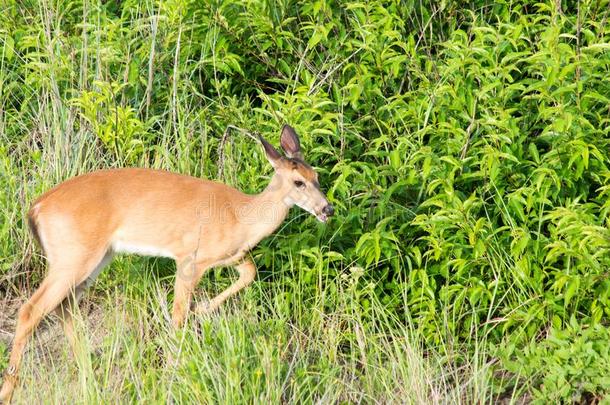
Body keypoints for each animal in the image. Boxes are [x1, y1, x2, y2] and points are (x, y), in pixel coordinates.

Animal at [0, 124, 332, 402]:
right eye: (298, 182)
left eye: (316, 177)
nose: (327, 209)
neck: (240, 215)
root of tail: (35, 208)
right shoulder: (189, 258)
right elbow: (178, 317)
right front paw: (174, 371)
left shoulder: (229, 256)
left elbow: (249, 273)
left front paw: (204, 308)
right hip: (73, 256)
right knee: (31, 310)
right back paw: (10, 389)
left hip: (94, 258)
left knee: (64, 307)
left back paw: (88, 380)